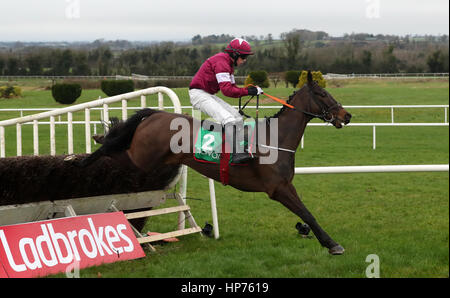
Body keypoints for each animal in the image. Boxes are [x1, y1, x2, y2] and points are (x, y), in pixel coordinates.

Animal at [82, 71, 354, 255]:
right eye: (322, 94)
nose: (347, 115)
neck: (275, 139)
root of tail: (157, 114)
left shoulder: (286, 186)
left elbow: (307, 213)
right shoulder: (278, 188)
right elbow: (307, 213)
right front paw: (332, 244)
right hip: (140, 156)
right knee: (112, 153)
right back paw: (93, 150)